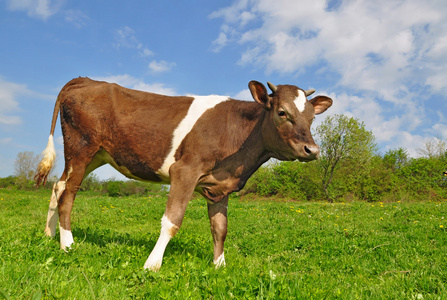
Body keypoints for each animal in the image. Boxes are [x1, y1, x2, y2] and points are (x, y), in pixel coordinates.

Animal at [35, 77, 332, 270]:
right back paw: (67, 244)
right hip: (81, 147)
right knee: (68, 194)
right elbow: (172, 221)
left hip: (94, 155)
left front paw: (219, 266)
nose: (312, 149)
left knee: (58, 187)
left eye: (311, 118)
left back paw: (49, 236)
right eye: (282, 112)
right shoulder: (185, 171)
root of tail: (85, 80)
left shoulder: (219, 187)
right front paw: (152, 264)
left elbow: (220, 228)